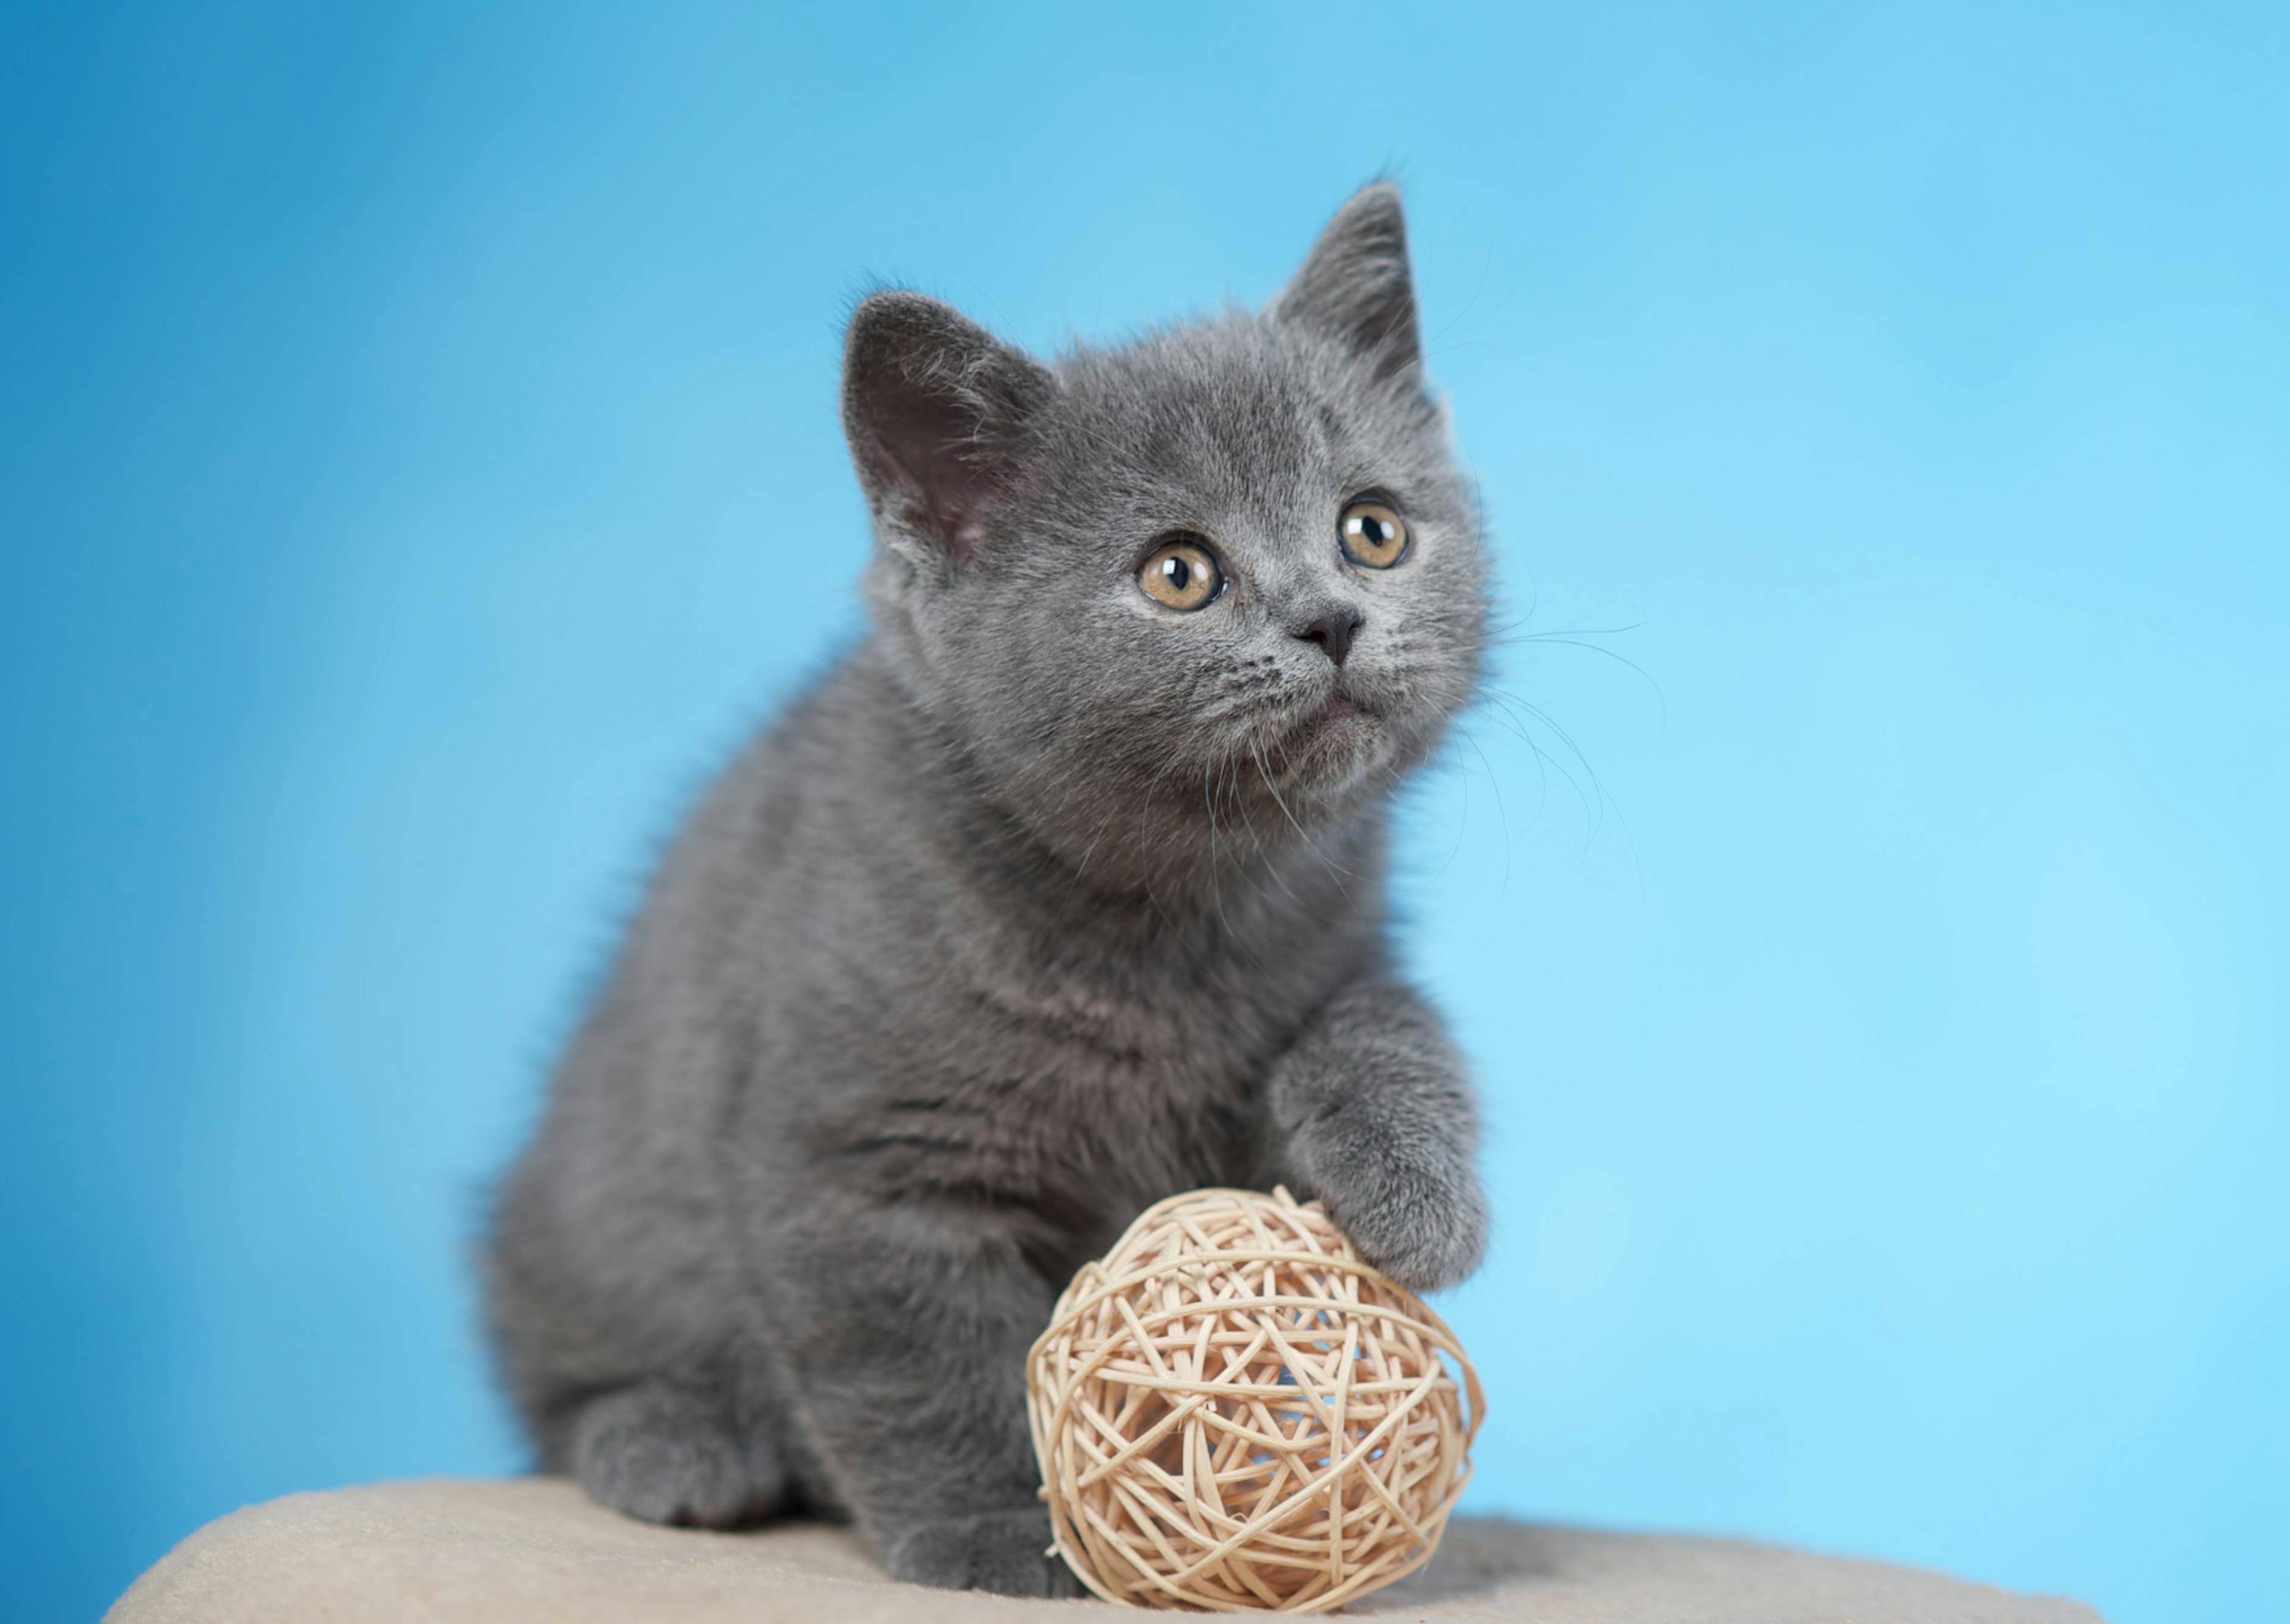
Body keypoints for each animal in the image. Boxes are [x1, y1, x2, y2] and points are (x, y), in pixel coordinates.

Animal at [483, 187, 1484, 1594]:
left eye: (1373, 529)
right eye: (1180, 572)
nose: (1334, 619)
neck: (1170, 918)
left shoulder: (1340, 948)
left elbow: (1388, 1023)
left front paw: (1418, 1189)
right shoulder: (856, 1159)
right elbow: (928, 1360)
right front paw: (1001, 1530)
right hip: (594, 1209)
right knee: (555, 1384)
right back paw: (676, 1439)